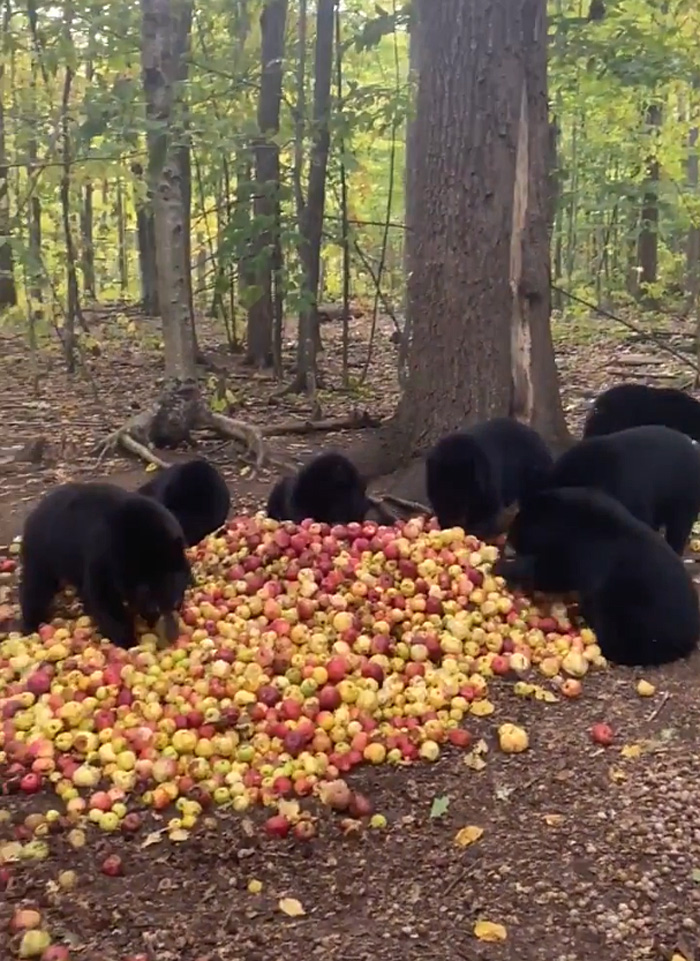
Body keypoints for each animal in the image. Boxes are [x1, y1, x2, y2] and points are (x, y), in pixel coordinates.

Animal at [19, 484, 191, 648]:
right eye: (155, 608)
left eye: (177, 603)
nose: (172, 637)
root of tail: (37, 509)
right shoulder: (102, 554)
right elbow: (103, 598)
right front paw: (127, 640)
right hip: (42, 552)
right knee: (36, 587)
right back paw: (30, 625)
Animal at [492, 488, 700, 668]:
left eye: (518, 526)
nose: (508, 542)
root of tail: (689, 638)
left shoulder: (584, 550)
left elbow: (553, 573)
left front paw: (504, 567)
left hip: (632, 612)